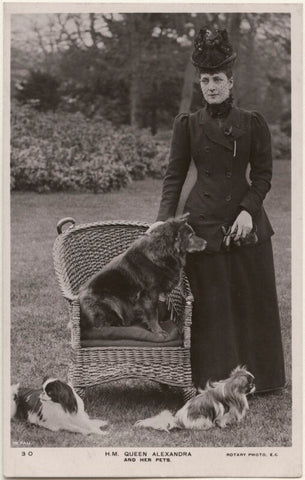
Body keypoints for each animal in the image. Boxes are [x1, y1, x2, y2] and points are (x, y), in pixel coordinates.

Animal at [79, 212, 205, 340]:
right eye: (191, 236)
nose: (206, 243)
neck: (162, 253)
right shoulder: (150, 293)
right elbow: (153, 314)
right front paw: (158, 331)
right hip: (112, 301)